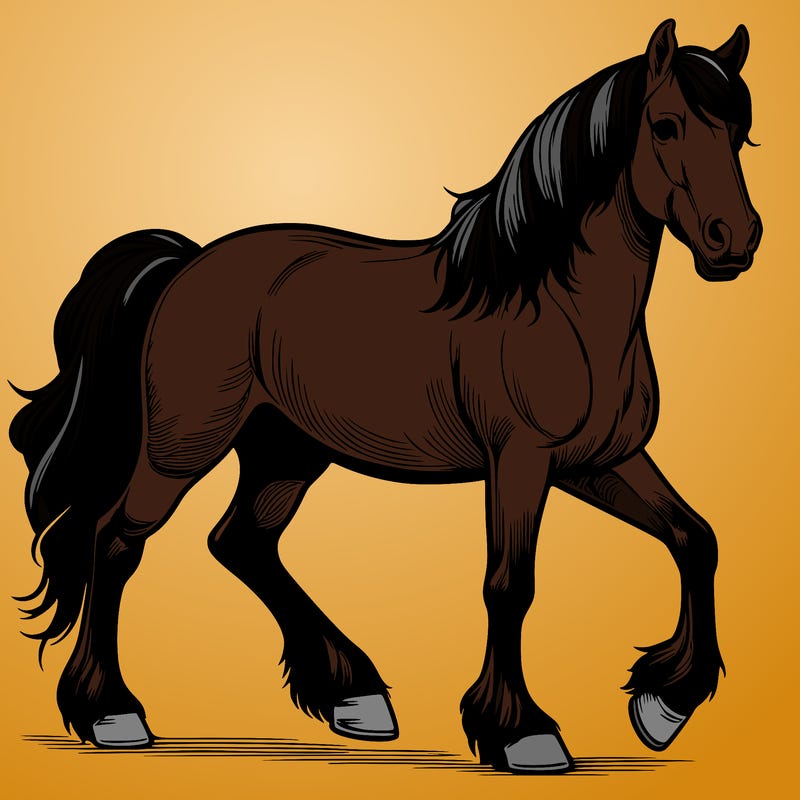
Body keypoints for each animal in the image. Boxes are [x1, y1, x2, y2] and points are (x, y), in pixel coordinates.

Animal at [10, 19, 760, 773]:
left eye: (740, 132)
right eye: (665, 125)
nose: (736, 240)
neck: (554, 303)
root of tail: (187, 263)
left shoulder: (600, 462)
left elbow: (696, 538)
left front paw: (663, 705)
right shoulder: (521, 462)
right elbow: (509, 584)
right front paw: (522, 733)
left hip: (286, 452)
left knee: (241, 541)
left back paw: (355, 695)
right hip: (181, 448)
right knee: (115, 541)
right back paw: (113, 714)